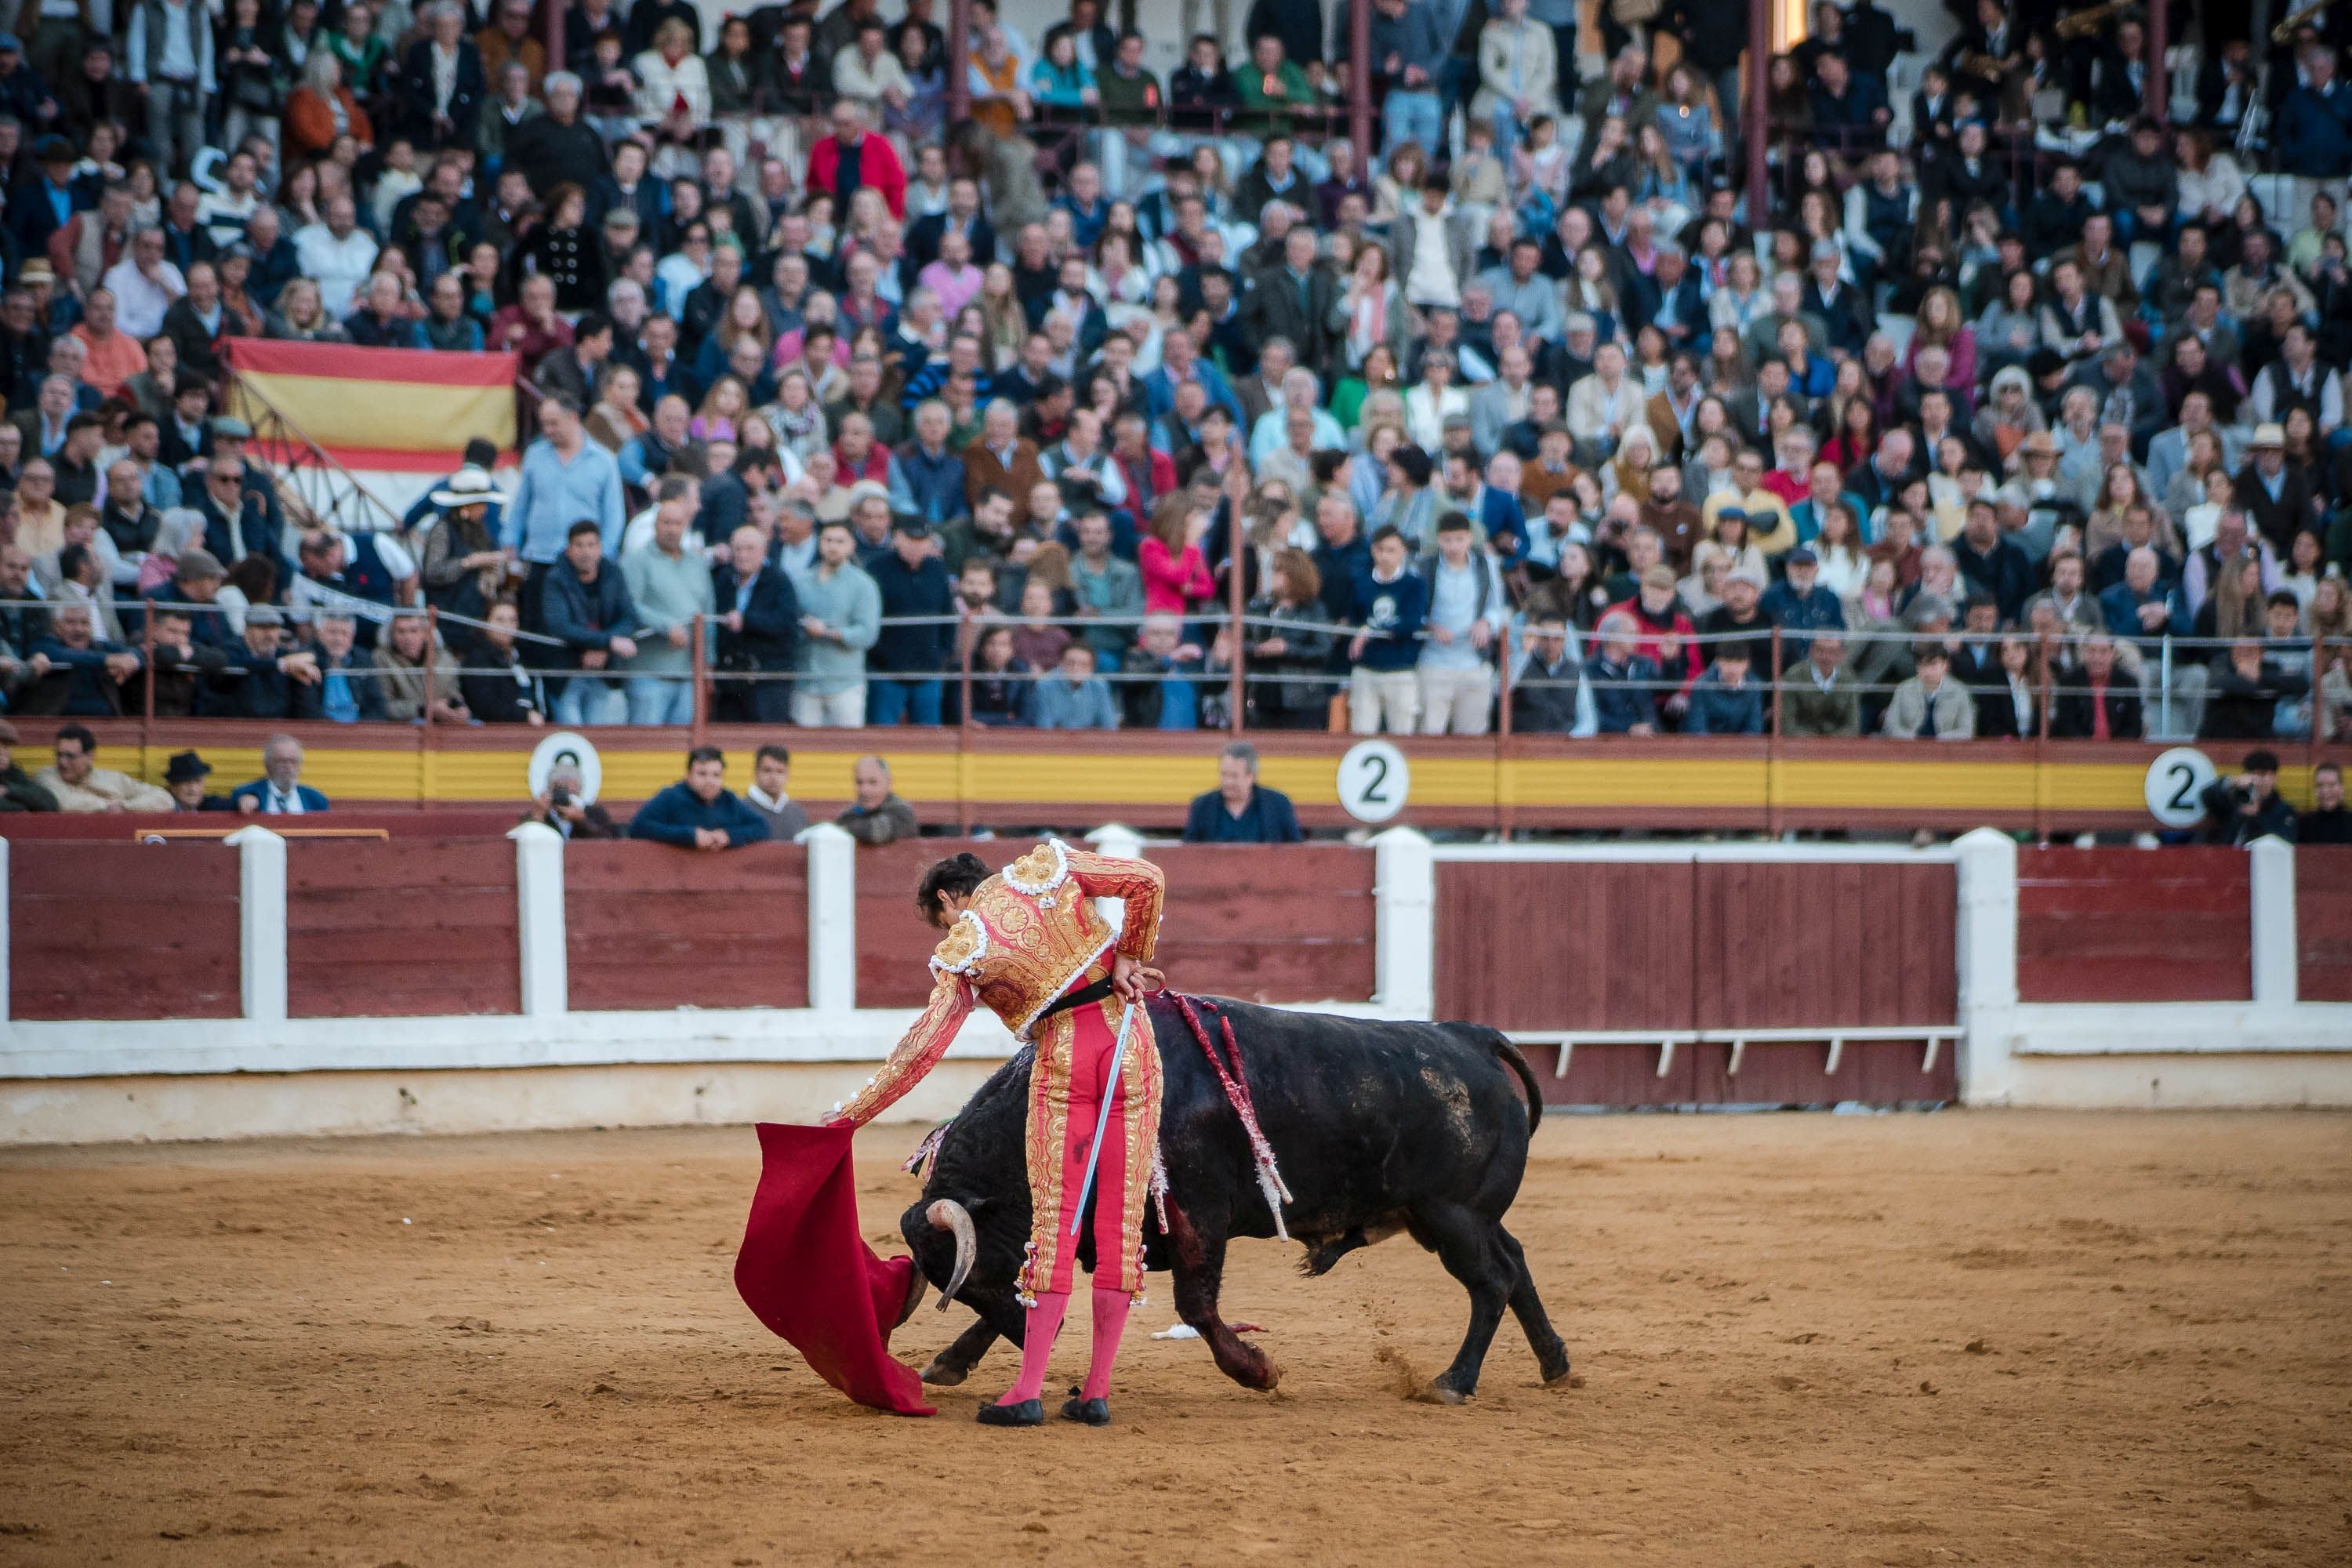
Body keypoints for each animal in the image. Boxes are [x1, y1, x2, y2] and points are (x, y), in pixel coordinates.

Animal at [898, 1001, 1581, 1401]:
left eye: (972, 1273)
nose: (1037, 1338)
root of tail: (1473, 1037)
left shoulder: (1198, 1216)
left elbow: (1197, 1305)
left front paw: (1259, 1371)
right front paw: (948, 1363)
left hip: (1452, 1215)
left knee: (1492, 1282)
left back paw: (1453, 1382)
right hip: (1461, 1217)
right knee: (1516, 1265)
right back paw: (1554, 1364)